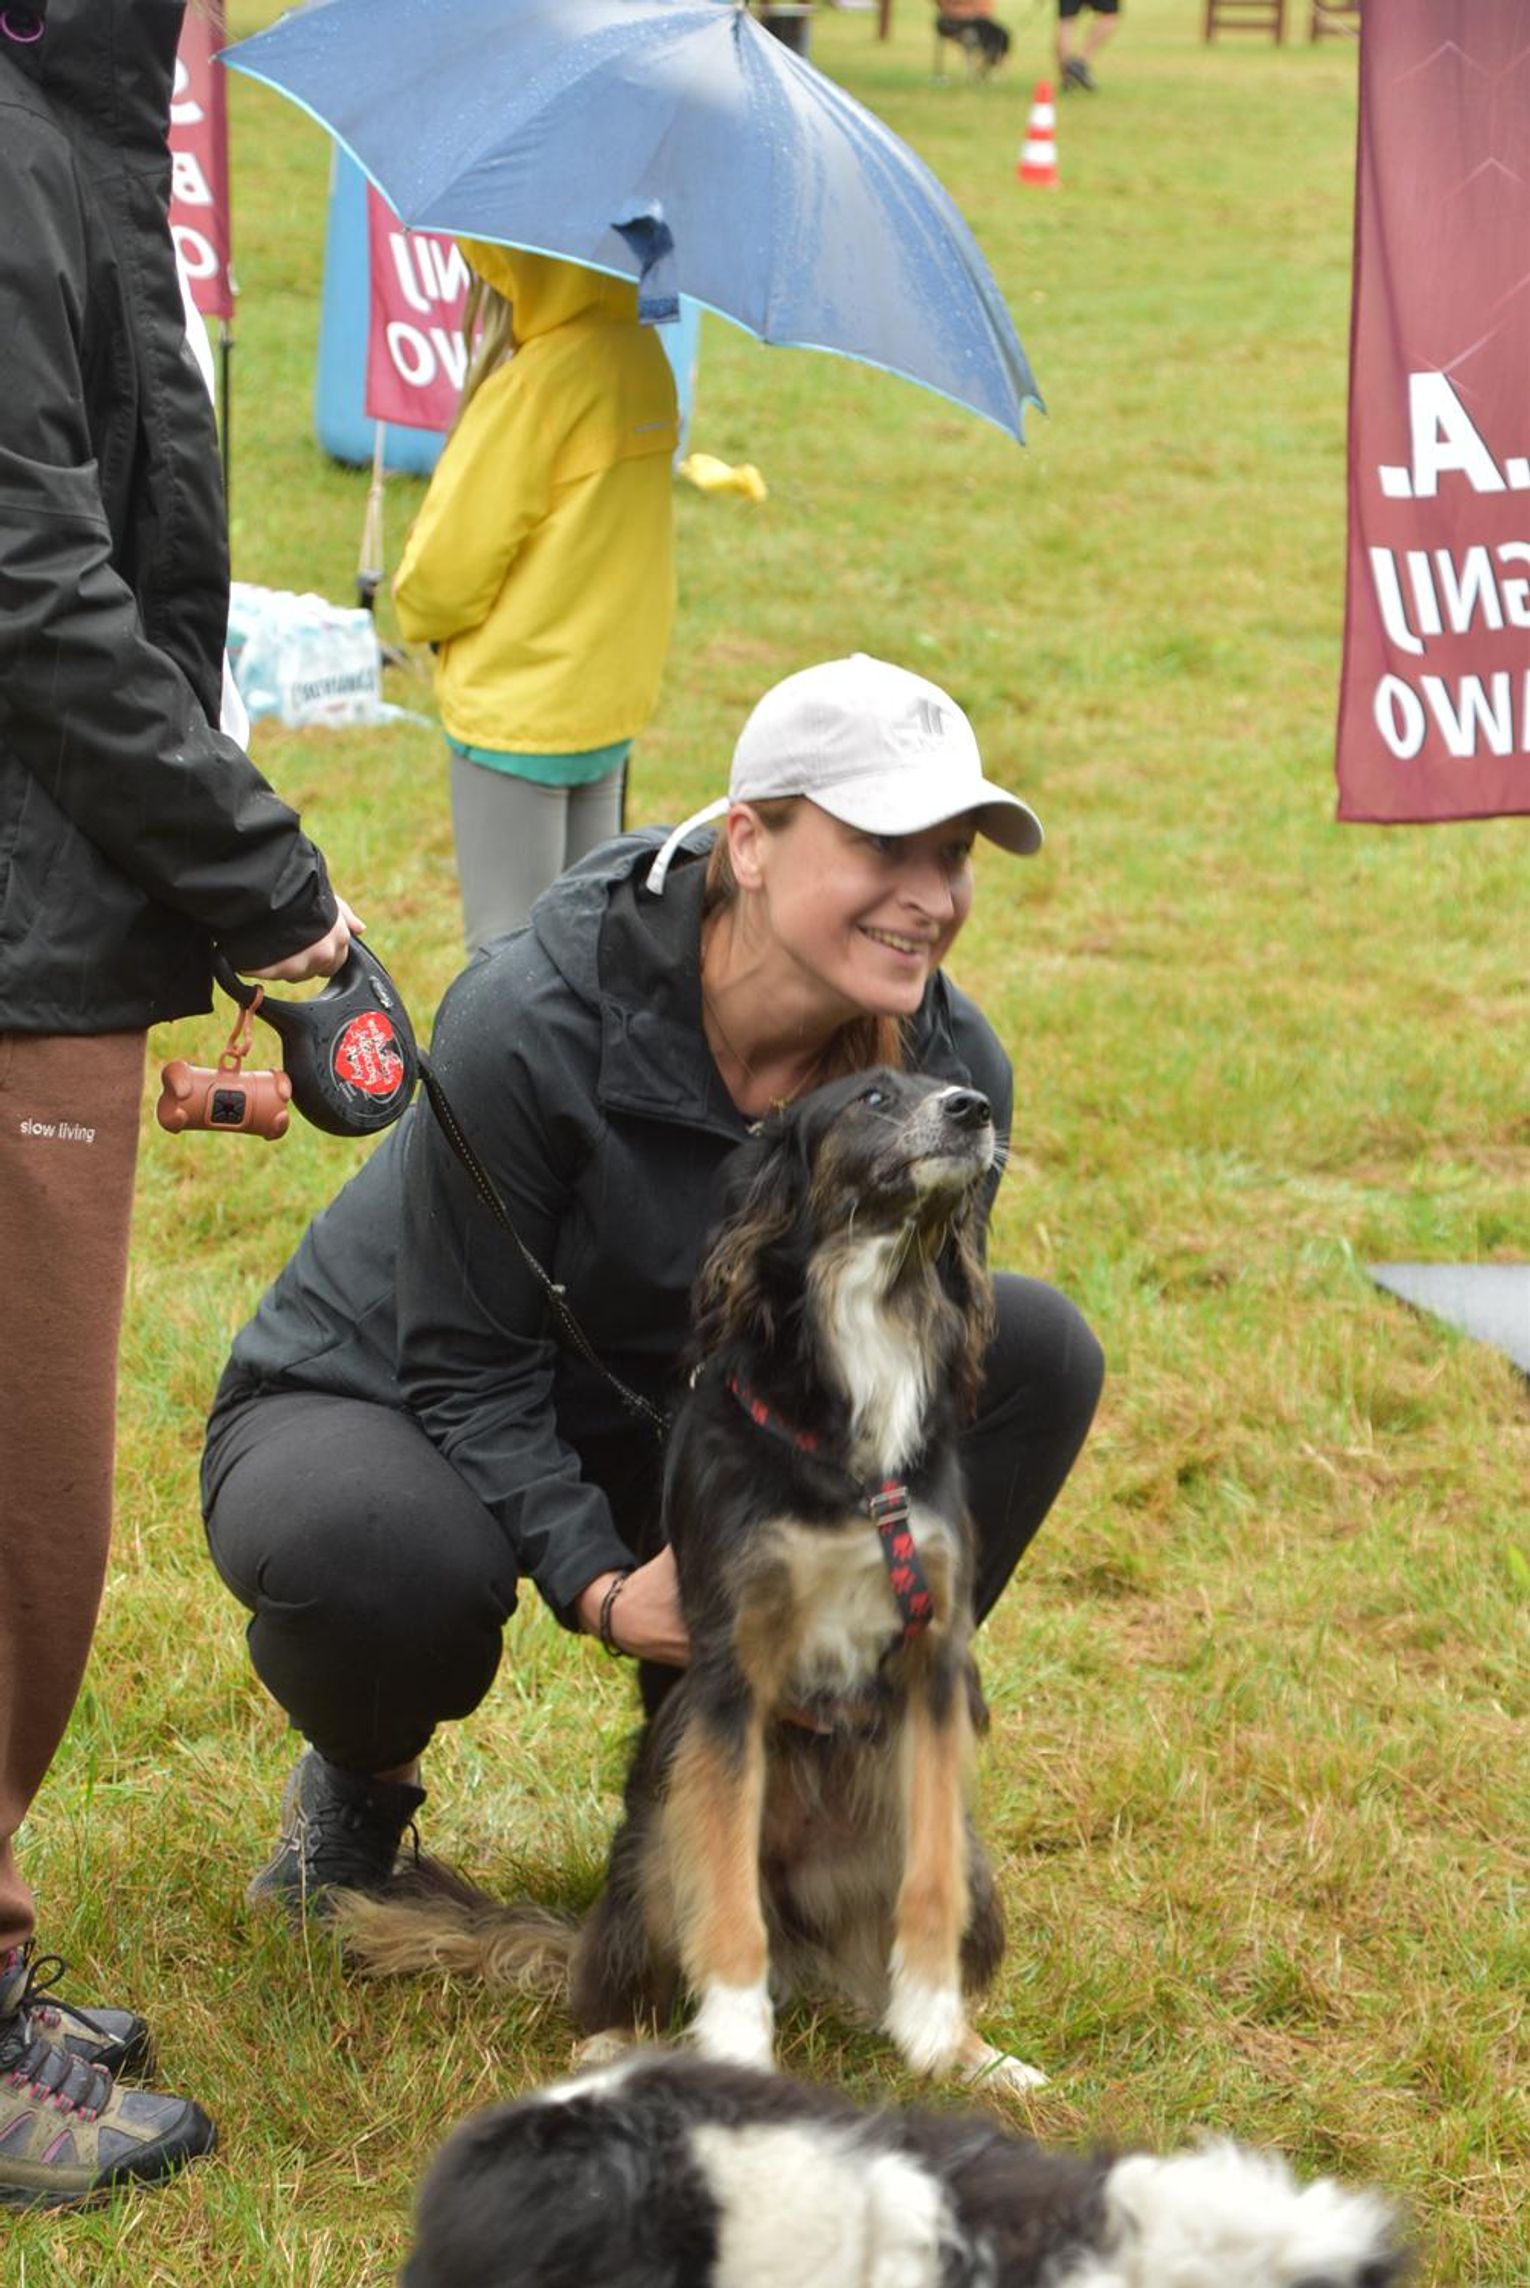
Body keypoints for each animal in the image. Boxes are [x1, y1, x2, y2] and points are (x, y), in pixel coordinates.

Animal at [339, 1068, 1041, 2090]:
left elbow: (932, 1883)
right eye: (871, 1096)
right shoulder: (728, 1676)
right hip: (653, 1842)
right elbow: (727, 1907)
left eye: (954, 1083)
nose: (974, 1109)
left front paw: (943, 2036)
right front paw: (738, 2050)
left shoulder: (934, 1663)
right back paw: (613, 2040)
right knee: (630, 1958)